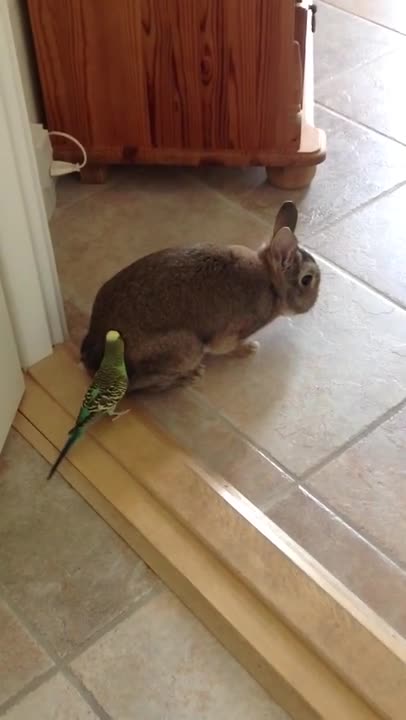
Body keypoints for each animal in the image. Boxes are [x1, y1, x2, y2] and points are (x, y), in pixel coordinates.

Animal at [80, 201, 320, 392]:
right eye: (307, 280)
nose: (313, 304)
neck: (270, 282)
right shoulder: (231, 333)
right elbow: (227, 348)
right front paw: (249, 349)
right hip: (188, 348)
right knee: (136, 387)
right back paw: (189, 377)